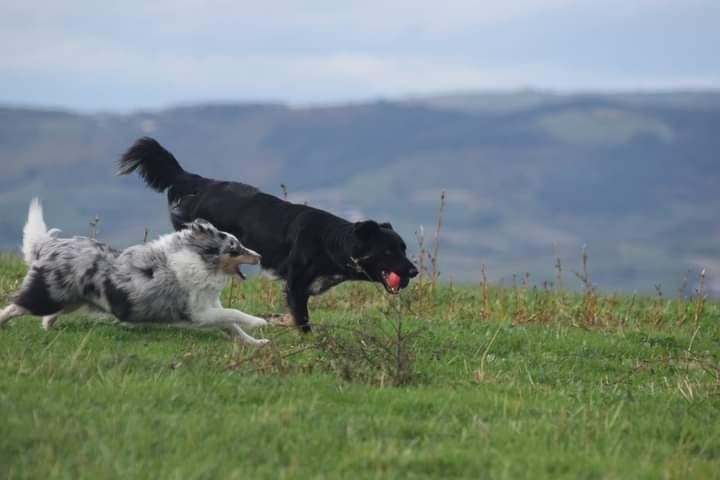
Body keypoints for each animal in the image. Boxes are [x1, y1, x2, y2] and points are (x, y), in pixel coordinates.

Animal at [0, 199, 270, 344]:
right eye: (235, 249)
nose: (260, 255)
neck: (201, 260)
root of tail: (49, 245)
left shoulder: (209, 308)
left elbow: (232, 326)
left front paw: (257, 343)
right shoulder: (198, 314)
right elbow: (234, 314)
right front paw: (260, 322)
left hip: (69, 299)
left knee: (47, 314)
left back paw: (49, 328)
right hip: (46, 296)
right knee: (15, 306)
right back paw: (4, 322)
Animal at [118, 137, 420, 332]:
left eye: (404, 248)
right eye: (388, 251)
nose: (414, 271)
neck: (332, 244)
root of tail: (195, 180)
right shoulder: (296, 284)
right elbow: (303, 320)